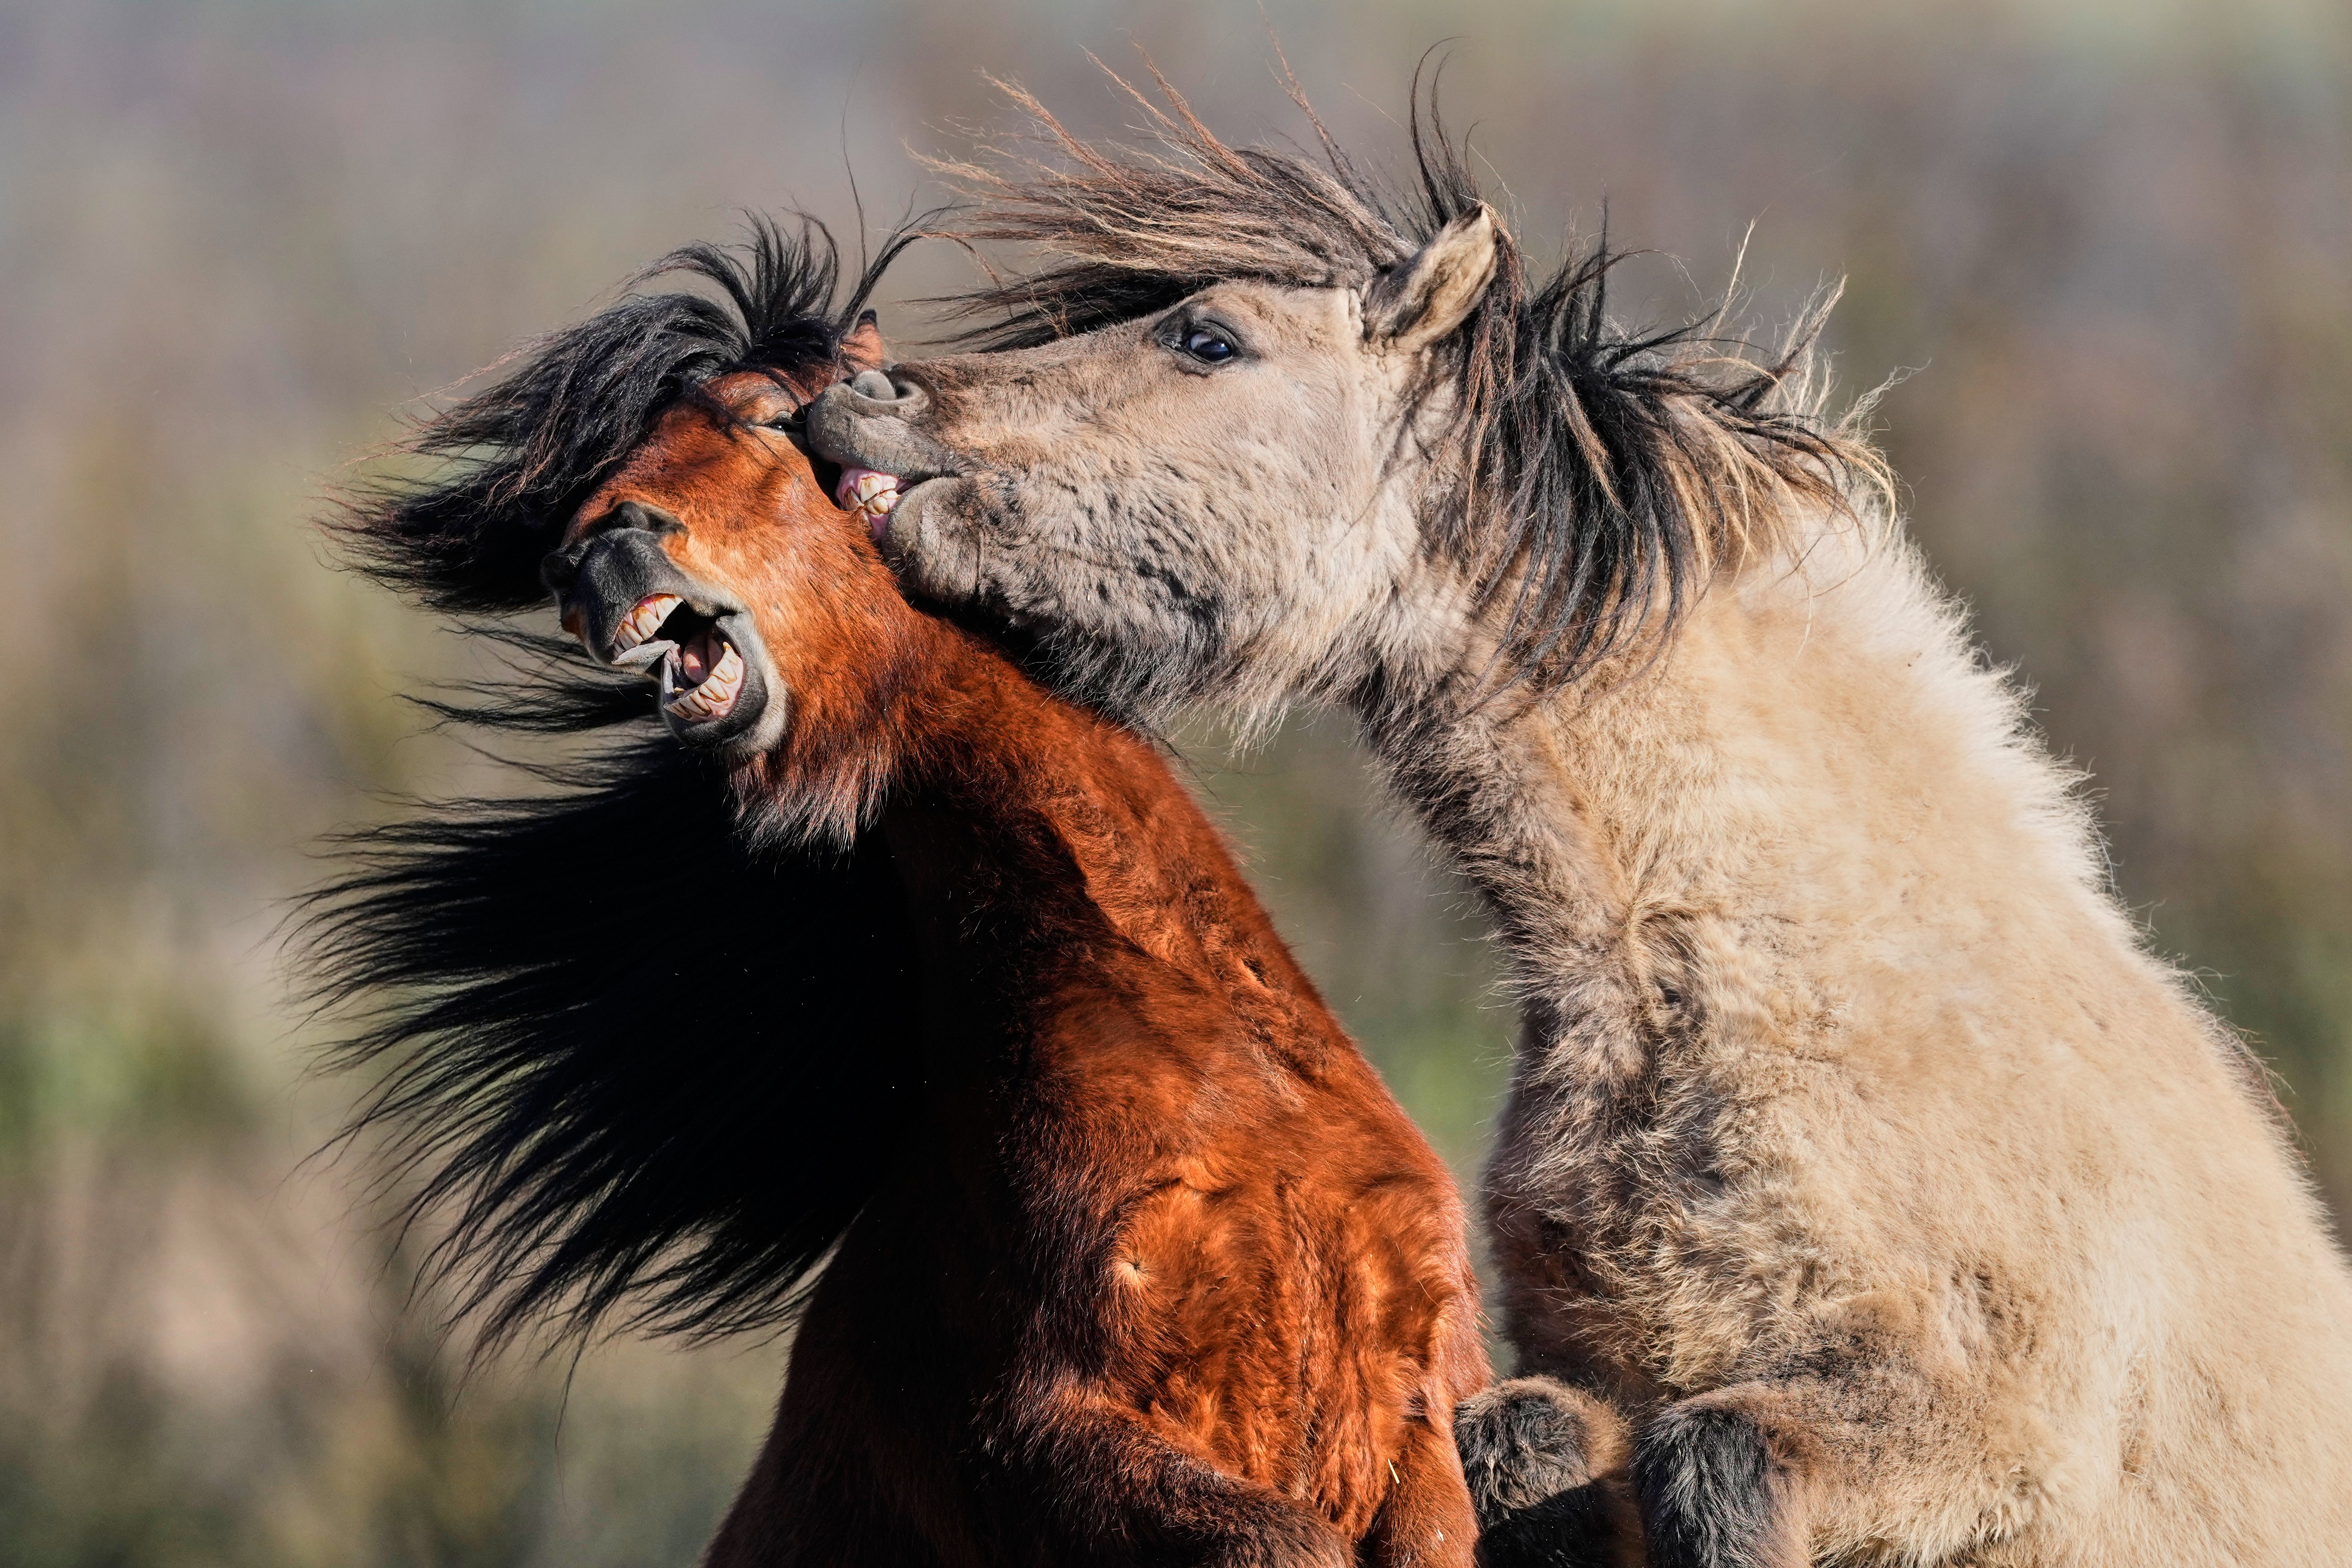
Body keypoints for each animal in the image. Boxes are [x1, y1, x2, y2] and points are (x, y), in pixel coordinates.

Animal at [301, 217, 1491, 1568]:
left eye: (770, 415)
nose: (592, 556)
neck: (1210, 1054)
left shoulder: (1424, 1399)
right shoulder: (1041, 1437)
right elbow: (1276, 1540)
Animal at [802, 72, 2352, 1568]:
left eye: (1211, 341)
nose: (852, 399)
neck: (1823, 983)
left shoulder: (1986, 1434)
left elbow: (1716, 1463)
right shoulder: (1584, 1381)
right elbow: (1522, 1448)